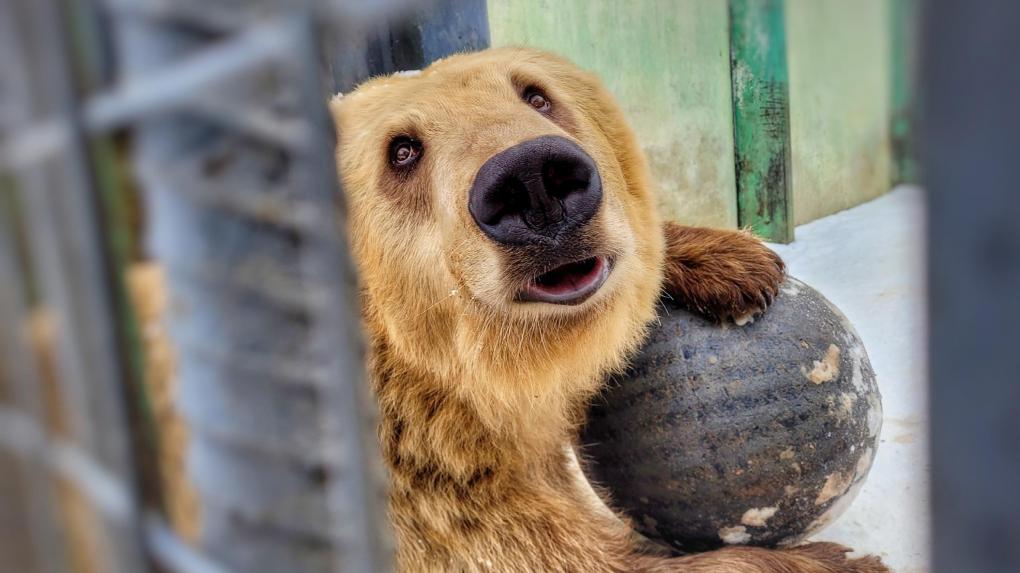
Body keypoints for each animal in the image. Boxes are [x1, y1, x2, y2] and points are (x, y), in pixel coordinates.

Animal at [328, 45, 885, 570]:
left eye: (537, 95)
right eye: (402, 150)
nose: (533, 179)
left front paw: (736, 264)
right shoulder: (431, 483)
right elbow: (561, 552)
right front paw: (838, 560)